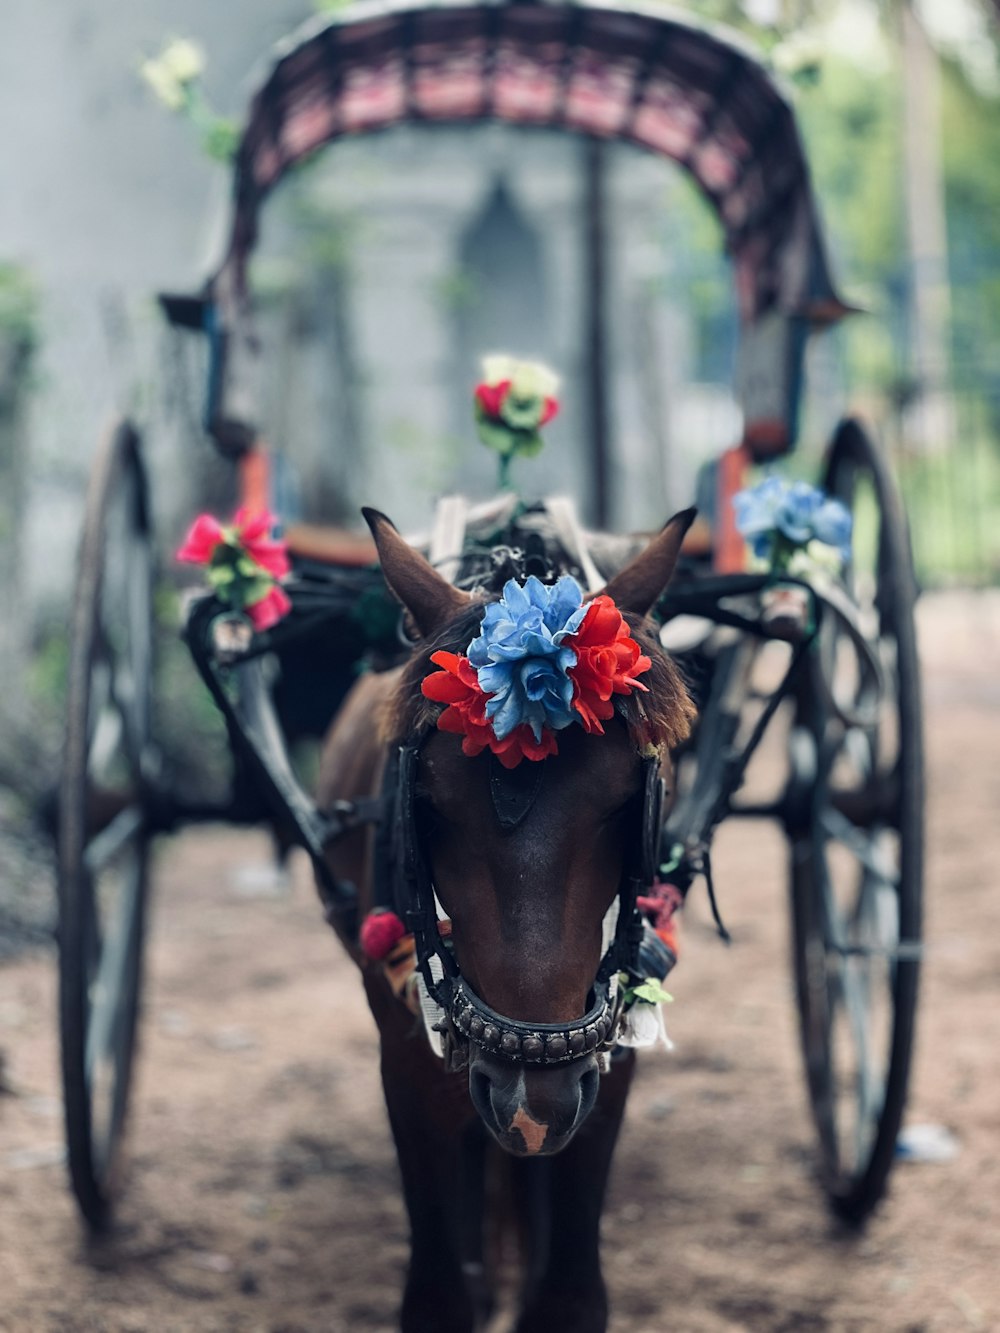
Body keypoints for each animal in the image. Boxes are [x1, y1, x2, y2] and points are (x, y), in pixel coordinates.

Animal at [318, 503, 698, 1327]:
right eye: (429, 802)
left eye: (626, 802)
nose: (532, 1104)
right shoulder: (408, 1065)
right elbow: (437, 1296)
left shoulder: (606, 1065)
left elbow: (569, 1298)